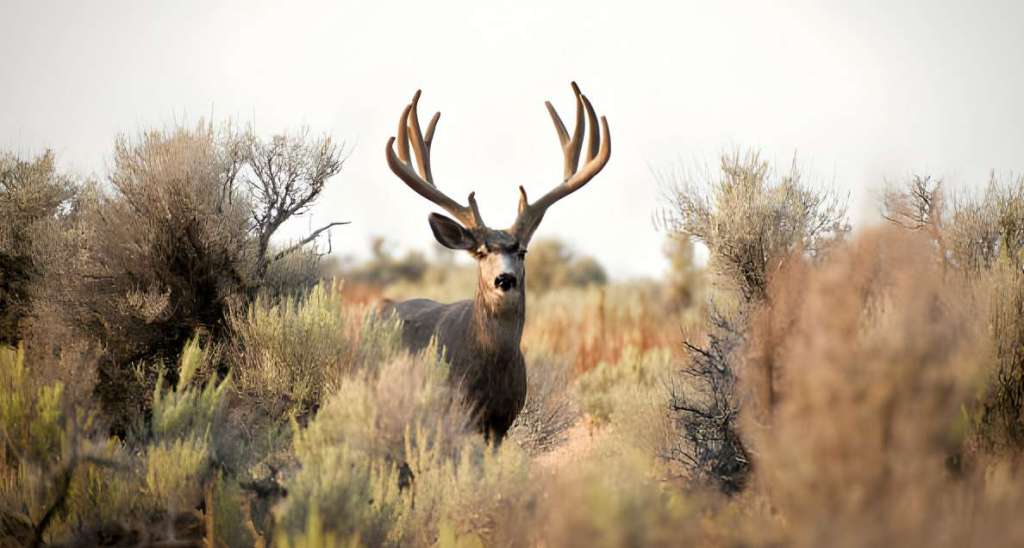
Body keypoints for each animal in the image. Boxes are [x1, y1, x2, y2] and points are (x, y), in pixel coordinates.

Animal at [382, 82, 606, 442]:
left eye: (522, 251)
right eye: (482, 252)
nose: (505, 279)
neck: (490, 369)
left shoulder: (501, 423)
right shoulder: (457, 411)